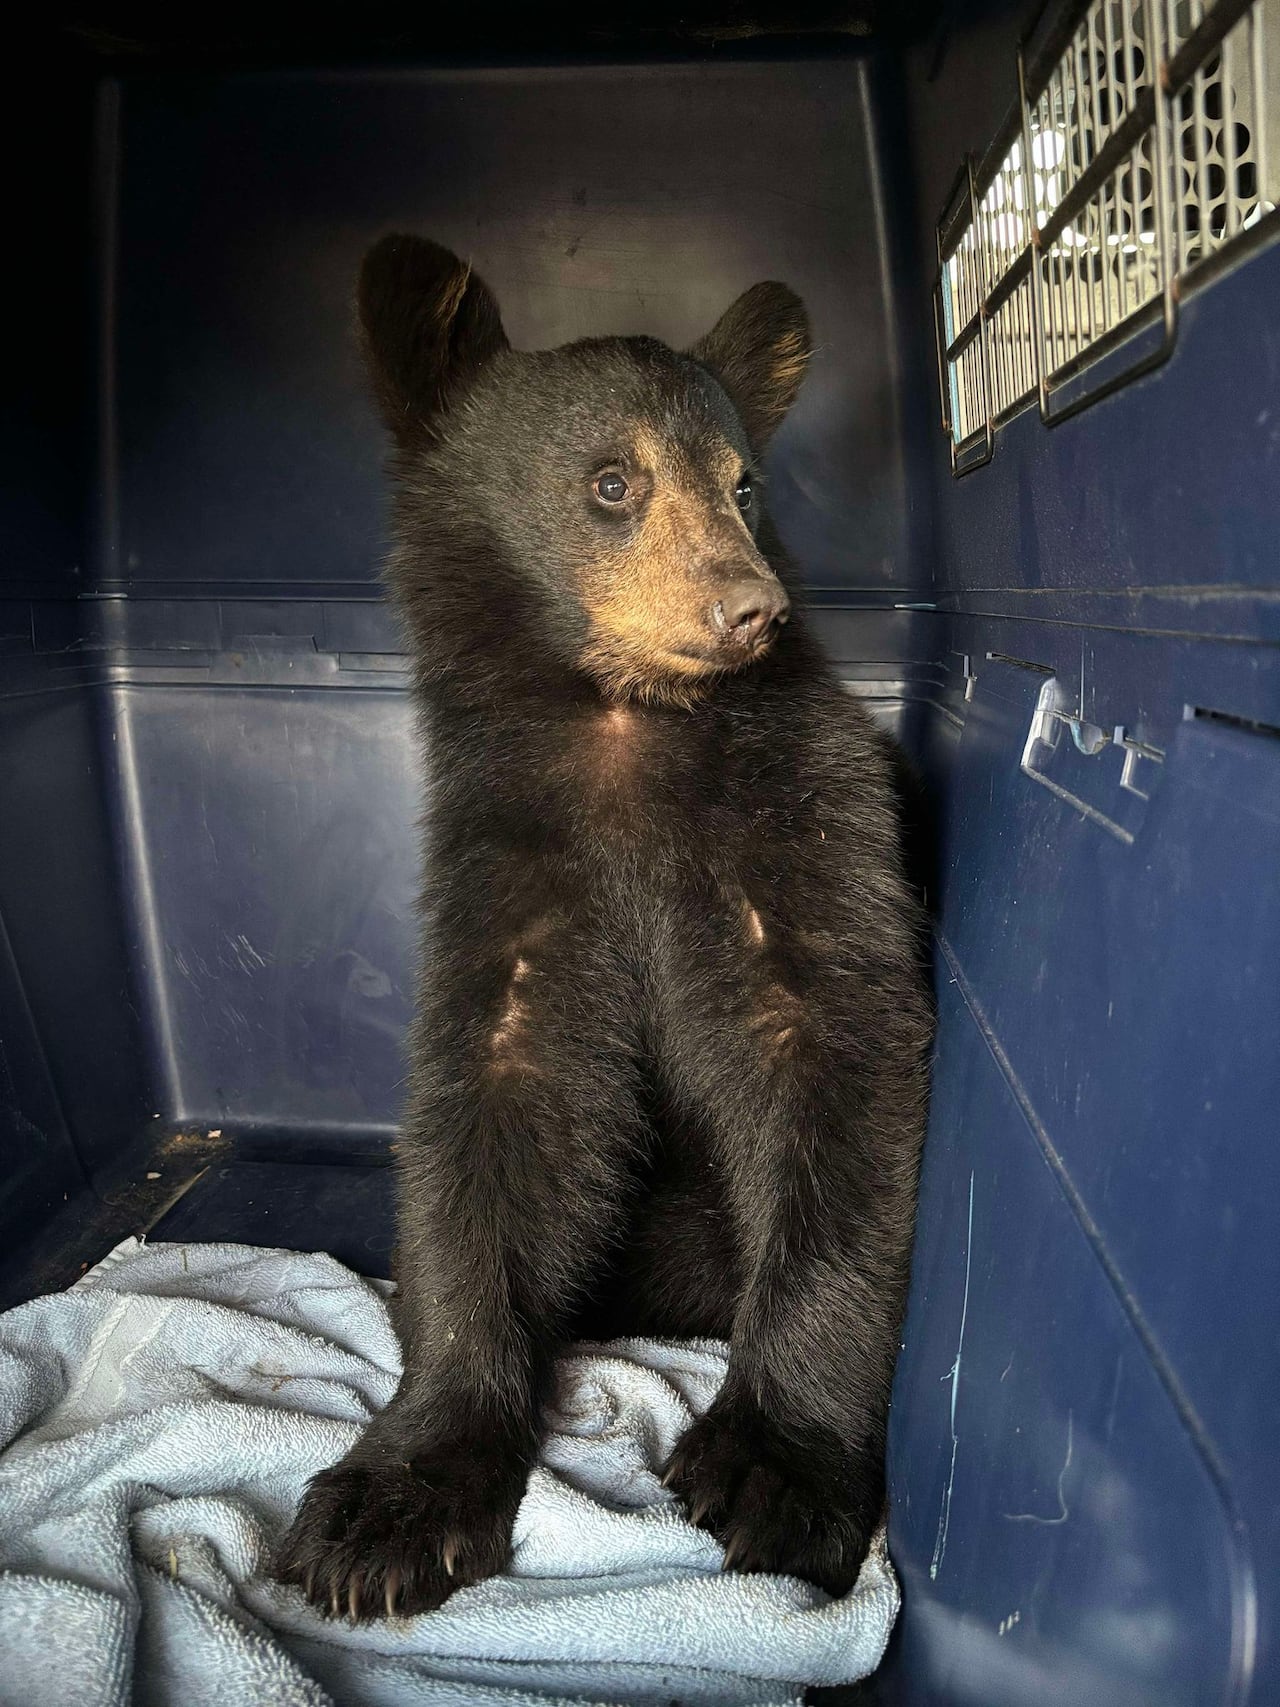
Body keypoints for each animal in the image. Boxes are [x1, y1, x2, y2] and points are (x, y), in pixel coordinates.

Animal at [276, 234, 932, 1620]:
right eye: (612, 480)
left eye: (742, 484)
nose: (749, 607)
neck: (626, 729)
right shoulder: (507, 861)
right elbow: (497, 1103)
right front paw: (390, 1501)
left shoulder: (808, 819)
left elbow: (833, 1056)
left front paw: (776, 1468)